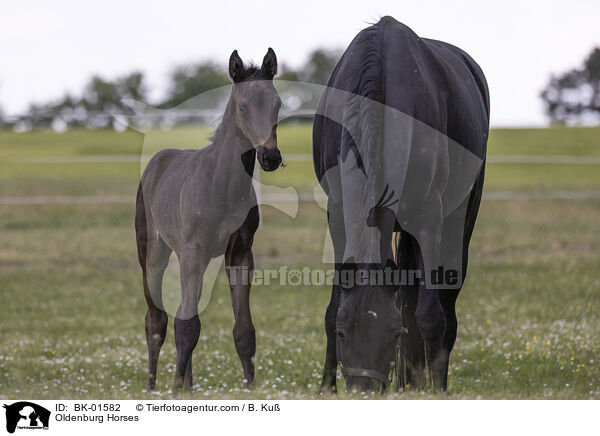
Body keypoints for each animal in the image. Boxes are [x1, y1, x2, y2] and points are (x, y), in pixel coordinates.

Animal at [136, 48, 284, 392]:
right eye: (243, 106)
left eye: (278, 104)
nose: (271, 157)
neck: (223, 184)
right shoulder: (195, 251)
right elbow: (187, 326)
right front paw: (174, 390)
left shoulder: (240, 253)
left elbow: (243, 330)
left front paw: (250, 389)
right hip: (153, 252)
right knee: (156, 320)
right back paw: (154, 387)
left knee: (181, 310)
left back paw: (189, 386)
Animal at [312, 16, 490, 392]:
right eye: (343, 333)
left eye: (394, 334)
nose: (363, 391)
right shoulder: (338, 214)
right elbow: (334, 305)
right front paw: (325, 387)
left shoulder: (429, 218)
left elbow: (429, 315)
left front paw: (435, 390)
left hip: (458, 221)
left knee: (446, 307)